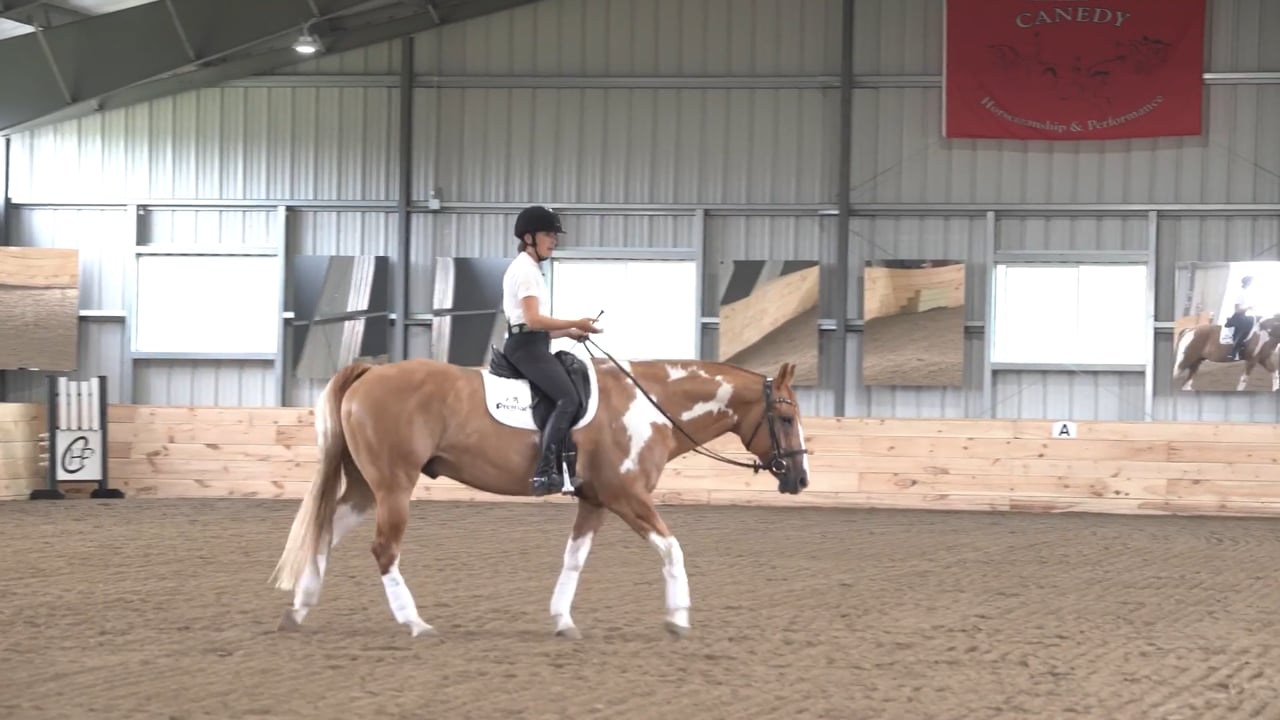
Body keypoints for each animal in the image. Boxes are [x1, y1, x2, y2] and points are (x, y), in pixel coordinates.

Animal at [267, 341, 811, 640]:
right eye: (786, 418)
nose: (800, 479)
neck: (647, 406)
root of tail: (372, 372)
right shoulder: (627, 496)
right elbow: (672, 549)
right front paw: (678, 618)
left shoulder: (595, 501)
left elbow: (574, 561)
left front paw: (562, 621)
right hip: (394, 486)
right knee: (384, 550)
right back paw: (415, 623)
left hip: (366, 486)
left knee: (325, 530)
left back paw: (297, 610)